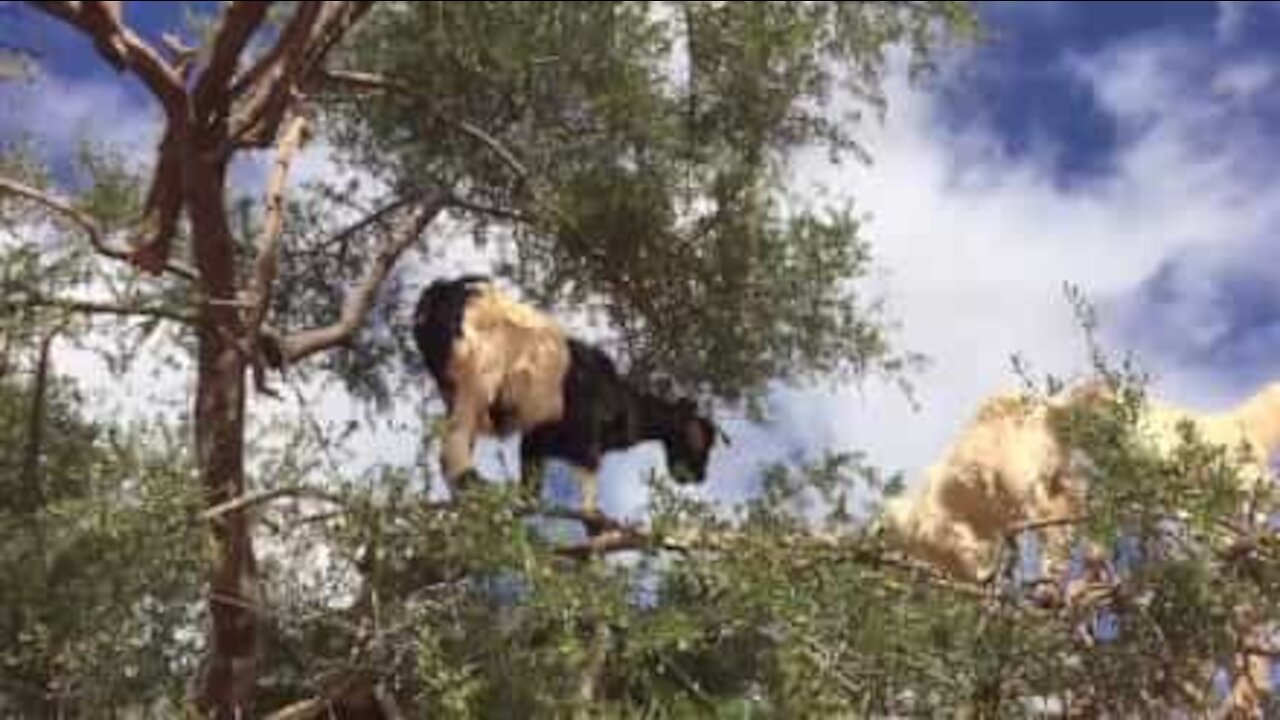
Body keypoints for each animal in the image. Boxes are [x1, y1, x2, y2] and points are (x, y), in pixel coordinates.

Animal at [411, 275, 725, 514]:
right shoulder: (586, 438)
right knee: (455, 442)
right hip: (479, 372)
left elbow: (530, 491)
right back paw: (474, 485)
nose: (700, 476)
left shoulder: (538, 438)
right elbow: (589, 500)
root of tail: (443, 293)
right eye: (700, 439)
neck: (621, 401)